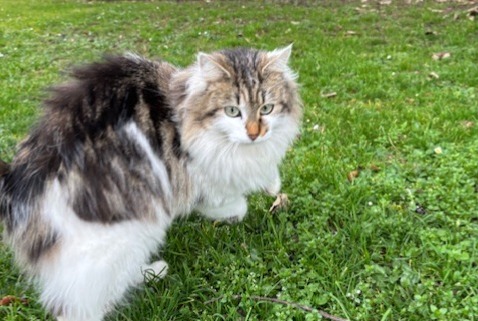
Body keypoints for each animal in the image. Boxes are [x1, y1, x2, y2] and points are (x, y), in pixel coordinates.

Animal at [0, 45, 302, 320]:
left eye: (266, 108)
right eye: (232, 111)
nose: (254, 133)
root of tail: (20, 182)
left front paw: (271, 184)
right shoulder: (197, 175)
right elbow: (231, 202)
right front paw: (234, 209)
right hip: (125, 235)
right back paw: (150, 274)